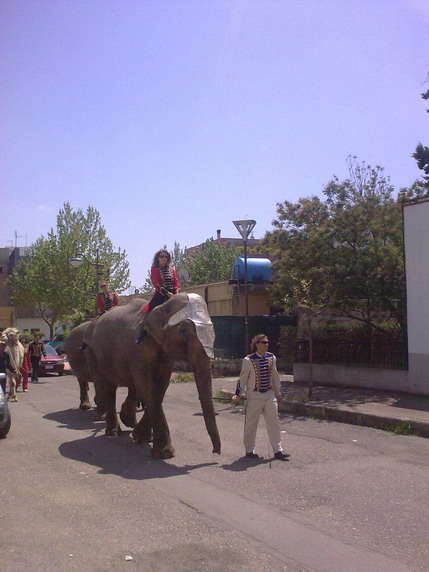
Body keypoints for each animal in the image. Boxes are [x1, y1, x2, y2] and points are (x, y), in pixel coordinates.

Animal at [67, 292, 221, 458]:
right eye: (184, 331)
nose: (215, 452)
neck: (161, 307)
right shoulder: (137, 349)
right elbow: (148, 387)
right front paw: (165, 453)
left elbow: (160, 387)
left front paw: (141, 438)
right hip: (95, 353)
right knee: (107, 387)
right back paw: (112, 432)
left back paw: (126, 421)